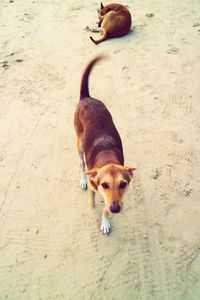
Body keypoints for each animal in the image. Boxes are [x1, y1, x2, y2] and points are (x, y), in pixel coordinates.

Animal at [73, 56, 136, 234]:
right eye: (104, 185)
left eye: (123, 184)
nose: (116, 209)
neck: (107, 159)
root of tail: (86, 97)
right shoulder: (96, 188)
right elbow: (93, 201)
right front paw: (94, 205)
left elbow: (105, 210)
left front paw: (105, 222)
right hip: (79, 144)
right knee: (81, 164)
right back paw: (83, 179)